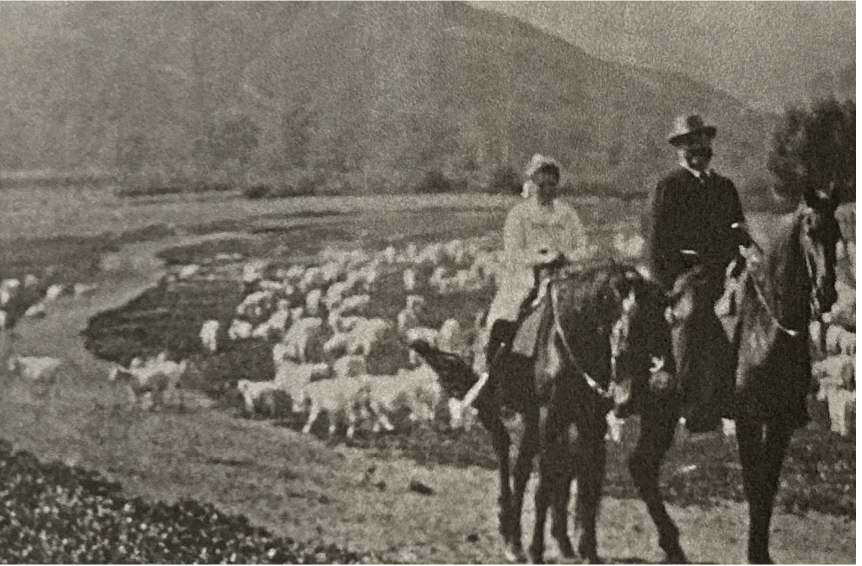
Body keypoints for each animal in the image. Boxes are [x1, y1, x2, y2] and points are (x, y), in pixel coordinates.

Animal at [410, 260, 676, 564]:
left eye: (662, 330)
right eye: (631, 336)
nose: (629, 400)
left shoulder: (590, 421)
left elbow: (587, 483)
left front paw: (587, 549)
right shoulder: (551, 416)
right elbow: (545, 485)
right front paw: (536, 549)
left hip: (532, 419)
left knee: (523, 468)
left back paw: (523, 538)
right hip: (499, 410)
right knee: (505, 453)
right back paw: (510, 535)